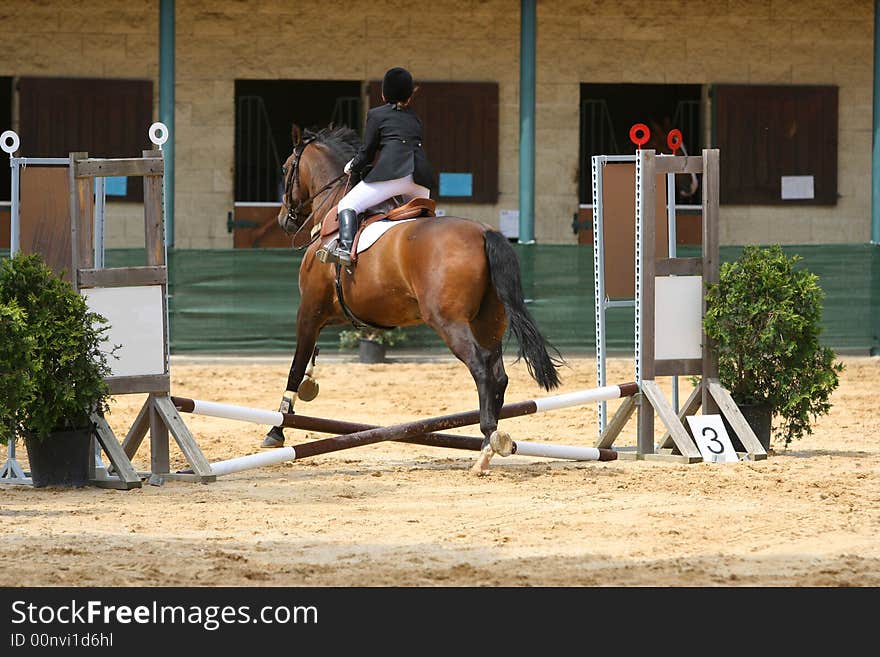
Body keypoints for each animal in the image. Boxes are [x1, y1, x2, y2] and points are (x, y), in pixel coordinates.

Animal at [262, 124, 564, 472]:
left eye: (285, 168)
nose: (284, 220)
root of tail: (483, 232)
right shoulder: (337, 313)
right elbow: (307, 362)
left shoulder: (310, 311)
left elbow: (296, 368)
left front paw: (276, 430)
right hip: (488, 322)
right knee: (498, 374)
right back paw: (489, 443)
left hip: (448, 321)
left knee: (481, 369)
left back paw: (488, 439)